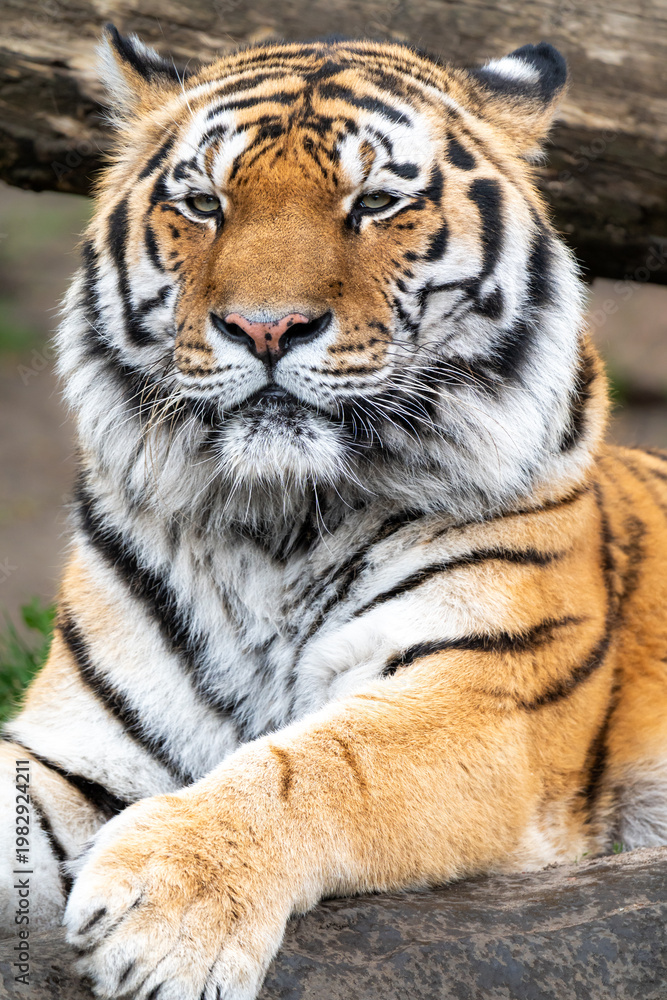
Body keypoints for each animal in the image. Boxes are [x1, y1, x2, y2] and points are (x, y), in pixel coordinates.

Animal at [1, 23, 666, 999]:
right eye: (203, 204)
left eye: (376, 202)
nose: (265, 327)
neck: (279, 519)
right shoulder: (78, 749)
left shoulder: (484, 697)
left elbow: (317, 764)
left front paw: (166, 911)